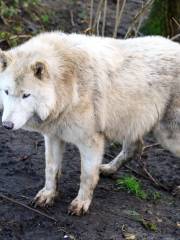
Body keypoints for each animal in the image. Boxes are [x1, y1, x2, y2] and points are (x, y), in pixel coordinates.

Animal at [0, 32, 180, 216]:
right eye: (6, 92)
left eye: (26, 95)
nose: (7, 125)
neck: (69, 87)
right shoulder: (53, 136)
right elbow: (51, 169)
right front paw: (48, 195)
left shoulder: (90, 142)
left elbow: (86, 176)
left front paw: (81, 203)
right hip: (131, 124)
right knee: (136, 147)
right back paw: (108, 168)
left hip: (167, 136)